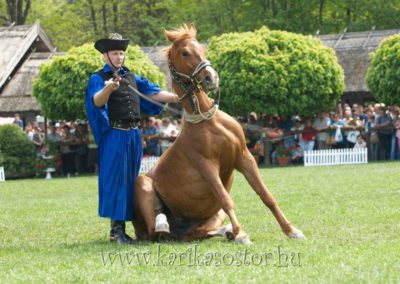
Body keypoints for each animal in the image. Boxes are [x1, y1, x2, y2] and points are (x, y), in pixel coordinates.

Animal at [133, 25, 304, 244]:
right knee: (158, 233)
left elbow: (266, 195)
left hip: (212, 217)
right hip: (142, 185)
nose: (211, 77)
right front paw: (242, 235)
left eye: (202, 48)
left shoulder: (244, 157)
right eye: (185, 52)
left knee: (194, 233)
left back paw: (227, 231)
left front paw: (291, 230)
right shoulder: (207, 166)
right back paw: (166, 223)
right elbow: (226, 198)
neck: (208, 121)